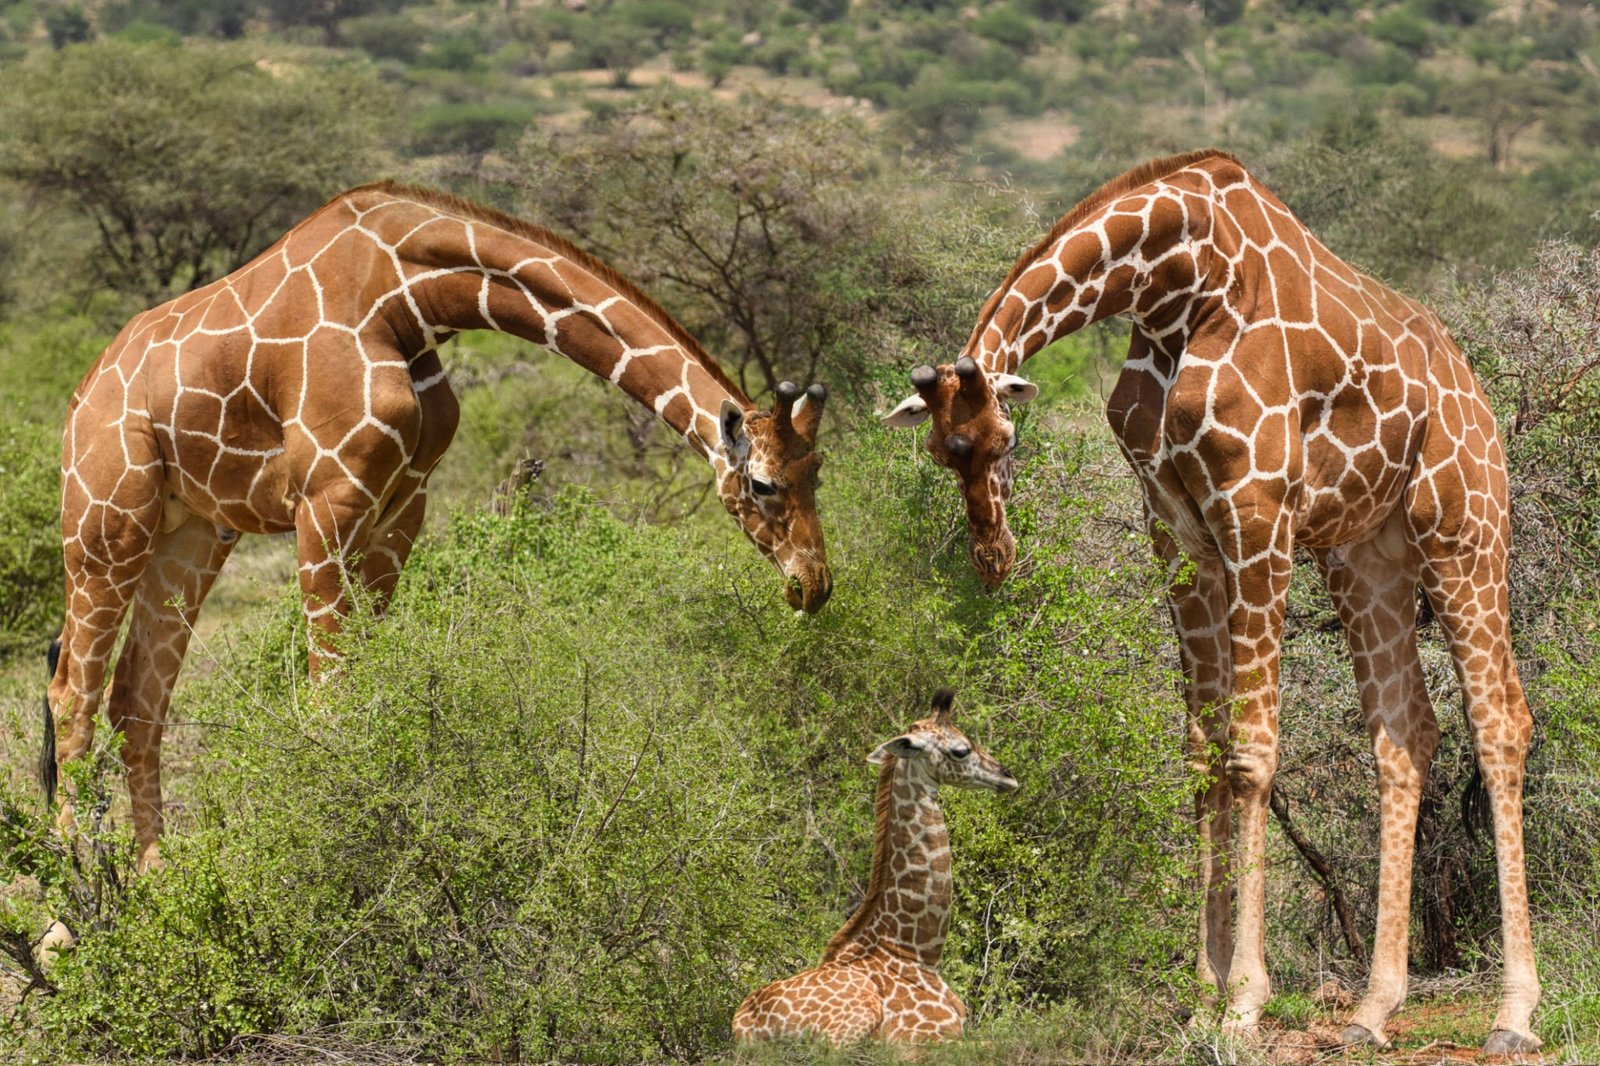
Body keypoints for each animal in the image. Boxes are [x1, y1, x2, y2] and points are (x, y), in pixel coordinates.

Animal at [43, 180, 832, 870]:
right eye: (763, 484)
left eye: (819, 471)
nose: (814, 584)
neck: (407, 300)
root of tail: (81, 394)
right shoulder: (327, 497)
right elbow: (328, 699)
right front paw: (329, 855)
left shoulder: (404, 502)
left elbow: (368, 687)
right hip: (106, 522)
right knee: (70, 693)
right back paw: (73, 893)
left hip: (194, 530)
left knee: (137, 701)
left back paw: (153, 879)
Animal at [732, 685, 1017, 1043]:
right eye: (961, 750)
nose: (1008, 778)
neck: (916, 952)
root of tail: (745, 1024)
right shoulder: (929, 1039)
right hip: (852, 1024)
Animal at [883, 149, 1542, 1056]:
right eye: (942, 453)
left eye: (1006, 440)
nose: (993, 559)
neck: (1174, 287)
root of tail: (1477, 389)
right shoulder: (1177, 532)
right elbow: (1203, 755)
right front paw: (1202, 994)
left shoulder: (1256, 510)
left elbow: (1252, 752)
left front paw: (1243, 1004)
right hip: (1366, 557)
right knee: (1405, 732)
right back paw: (1373, 1010)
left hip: (1465, 533)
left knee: (1501, 719)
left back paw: (1515, 1013)